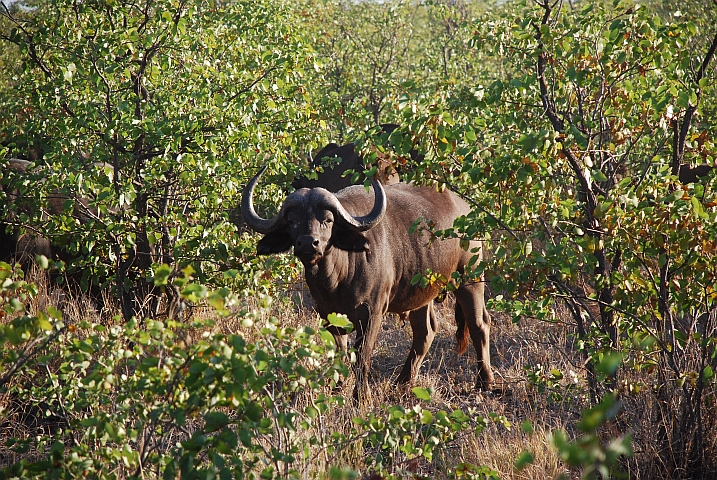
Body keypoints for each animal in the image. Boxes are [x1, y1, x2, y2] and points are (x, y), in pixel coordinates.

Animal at [241, 167, 492, 400]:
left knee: (479, 324)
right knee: (425, 331)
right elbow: (340, 351)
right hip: (421, 293)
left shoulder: (372, 312)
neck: (337, 279)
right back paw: (402, 383)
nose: (308, 243)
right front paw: (337, 388)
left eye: (327, 220)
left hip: (469, 279)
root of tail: (465, 209)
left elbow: (362, 354)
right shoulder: (327, 314)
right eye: (292, 222)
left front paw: (361, 397)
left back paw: (484, 382)